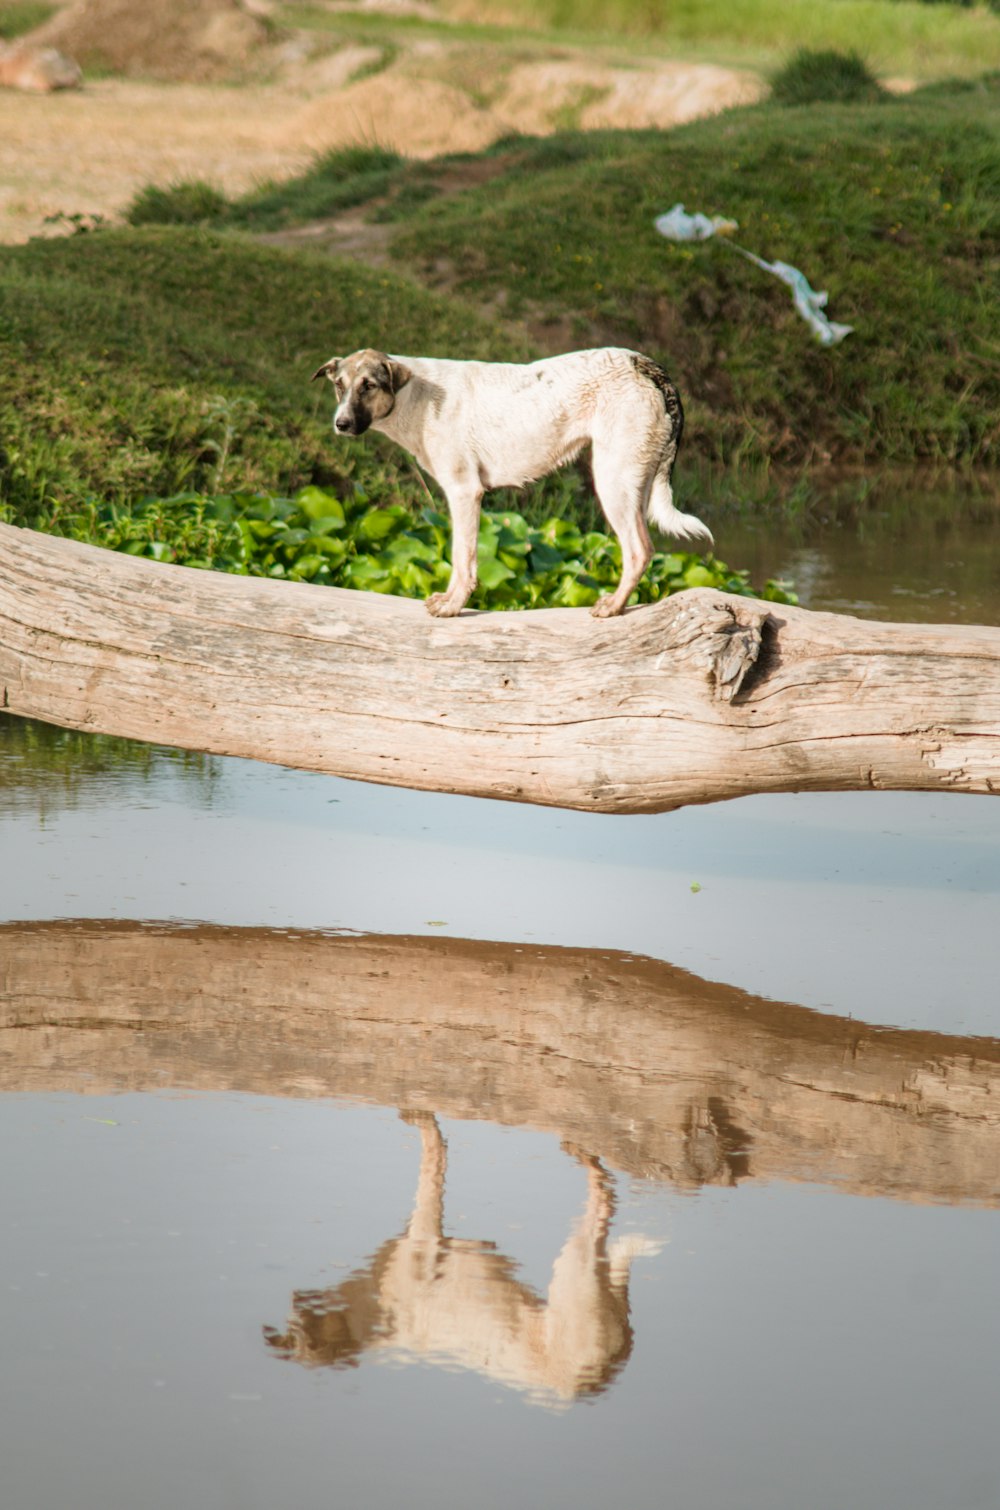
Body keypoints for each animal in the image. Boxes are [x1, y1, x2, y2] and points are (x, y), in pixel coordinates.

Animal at [314, 345, 712, 616]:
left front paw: (453, 606)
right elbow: (459, 556)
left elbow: (463, 557)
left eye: (368, 385)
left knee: (639, 551)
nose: (340, 424)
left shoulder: (465, 493)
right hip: (633, 483)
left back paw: (613, 606)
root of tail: (643, 364)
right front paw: (449, 600)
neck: (415, 396)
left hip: (613, 484)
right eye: (339, 385)